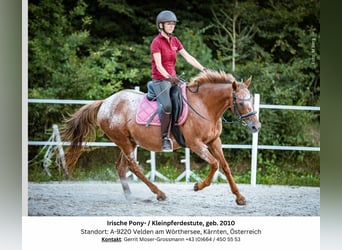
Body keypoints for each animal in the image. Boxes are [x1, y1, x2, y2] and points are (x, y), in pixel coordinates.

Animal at [61, 70, 260, 205]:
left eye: (251, 100)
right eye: (241, 103)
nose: (255, 127)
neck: (204, 106)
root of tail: (105, 103)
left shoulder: (214, 142)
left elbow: (225, 167)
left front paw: (239, 197)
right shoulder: (196, 144)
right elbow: (214, 164)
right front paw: (198, 185)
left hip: (129, 142)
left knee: (121, 167)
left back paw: (130, 195)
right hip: (124, 142)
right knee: (134, 167)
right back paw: (159, 193)